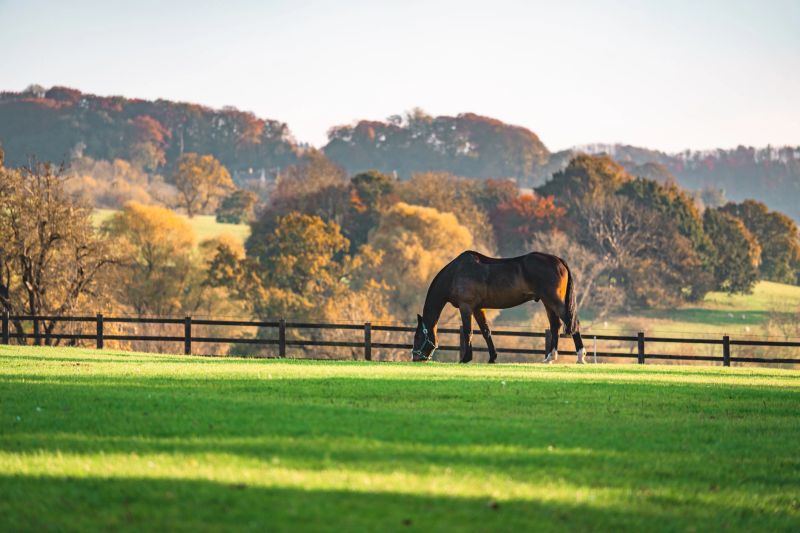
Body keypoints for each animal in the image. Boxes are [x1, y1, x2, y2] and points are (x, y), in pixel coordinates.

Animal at [411, 250, 587, 364]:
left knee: (572, 323)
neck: (455, 273)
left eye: (418, 336)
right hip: (547, 302)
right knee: (555, 325)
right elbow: (486, 331)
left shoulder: (466, 306)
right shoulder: (478, 308)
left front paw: (466, 358)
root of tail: (558, 260)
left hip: (553, 300)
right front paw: (492, 357)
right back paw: (550, 357)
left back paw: (580, 356)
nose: (415, 357)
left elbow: (468, 331)